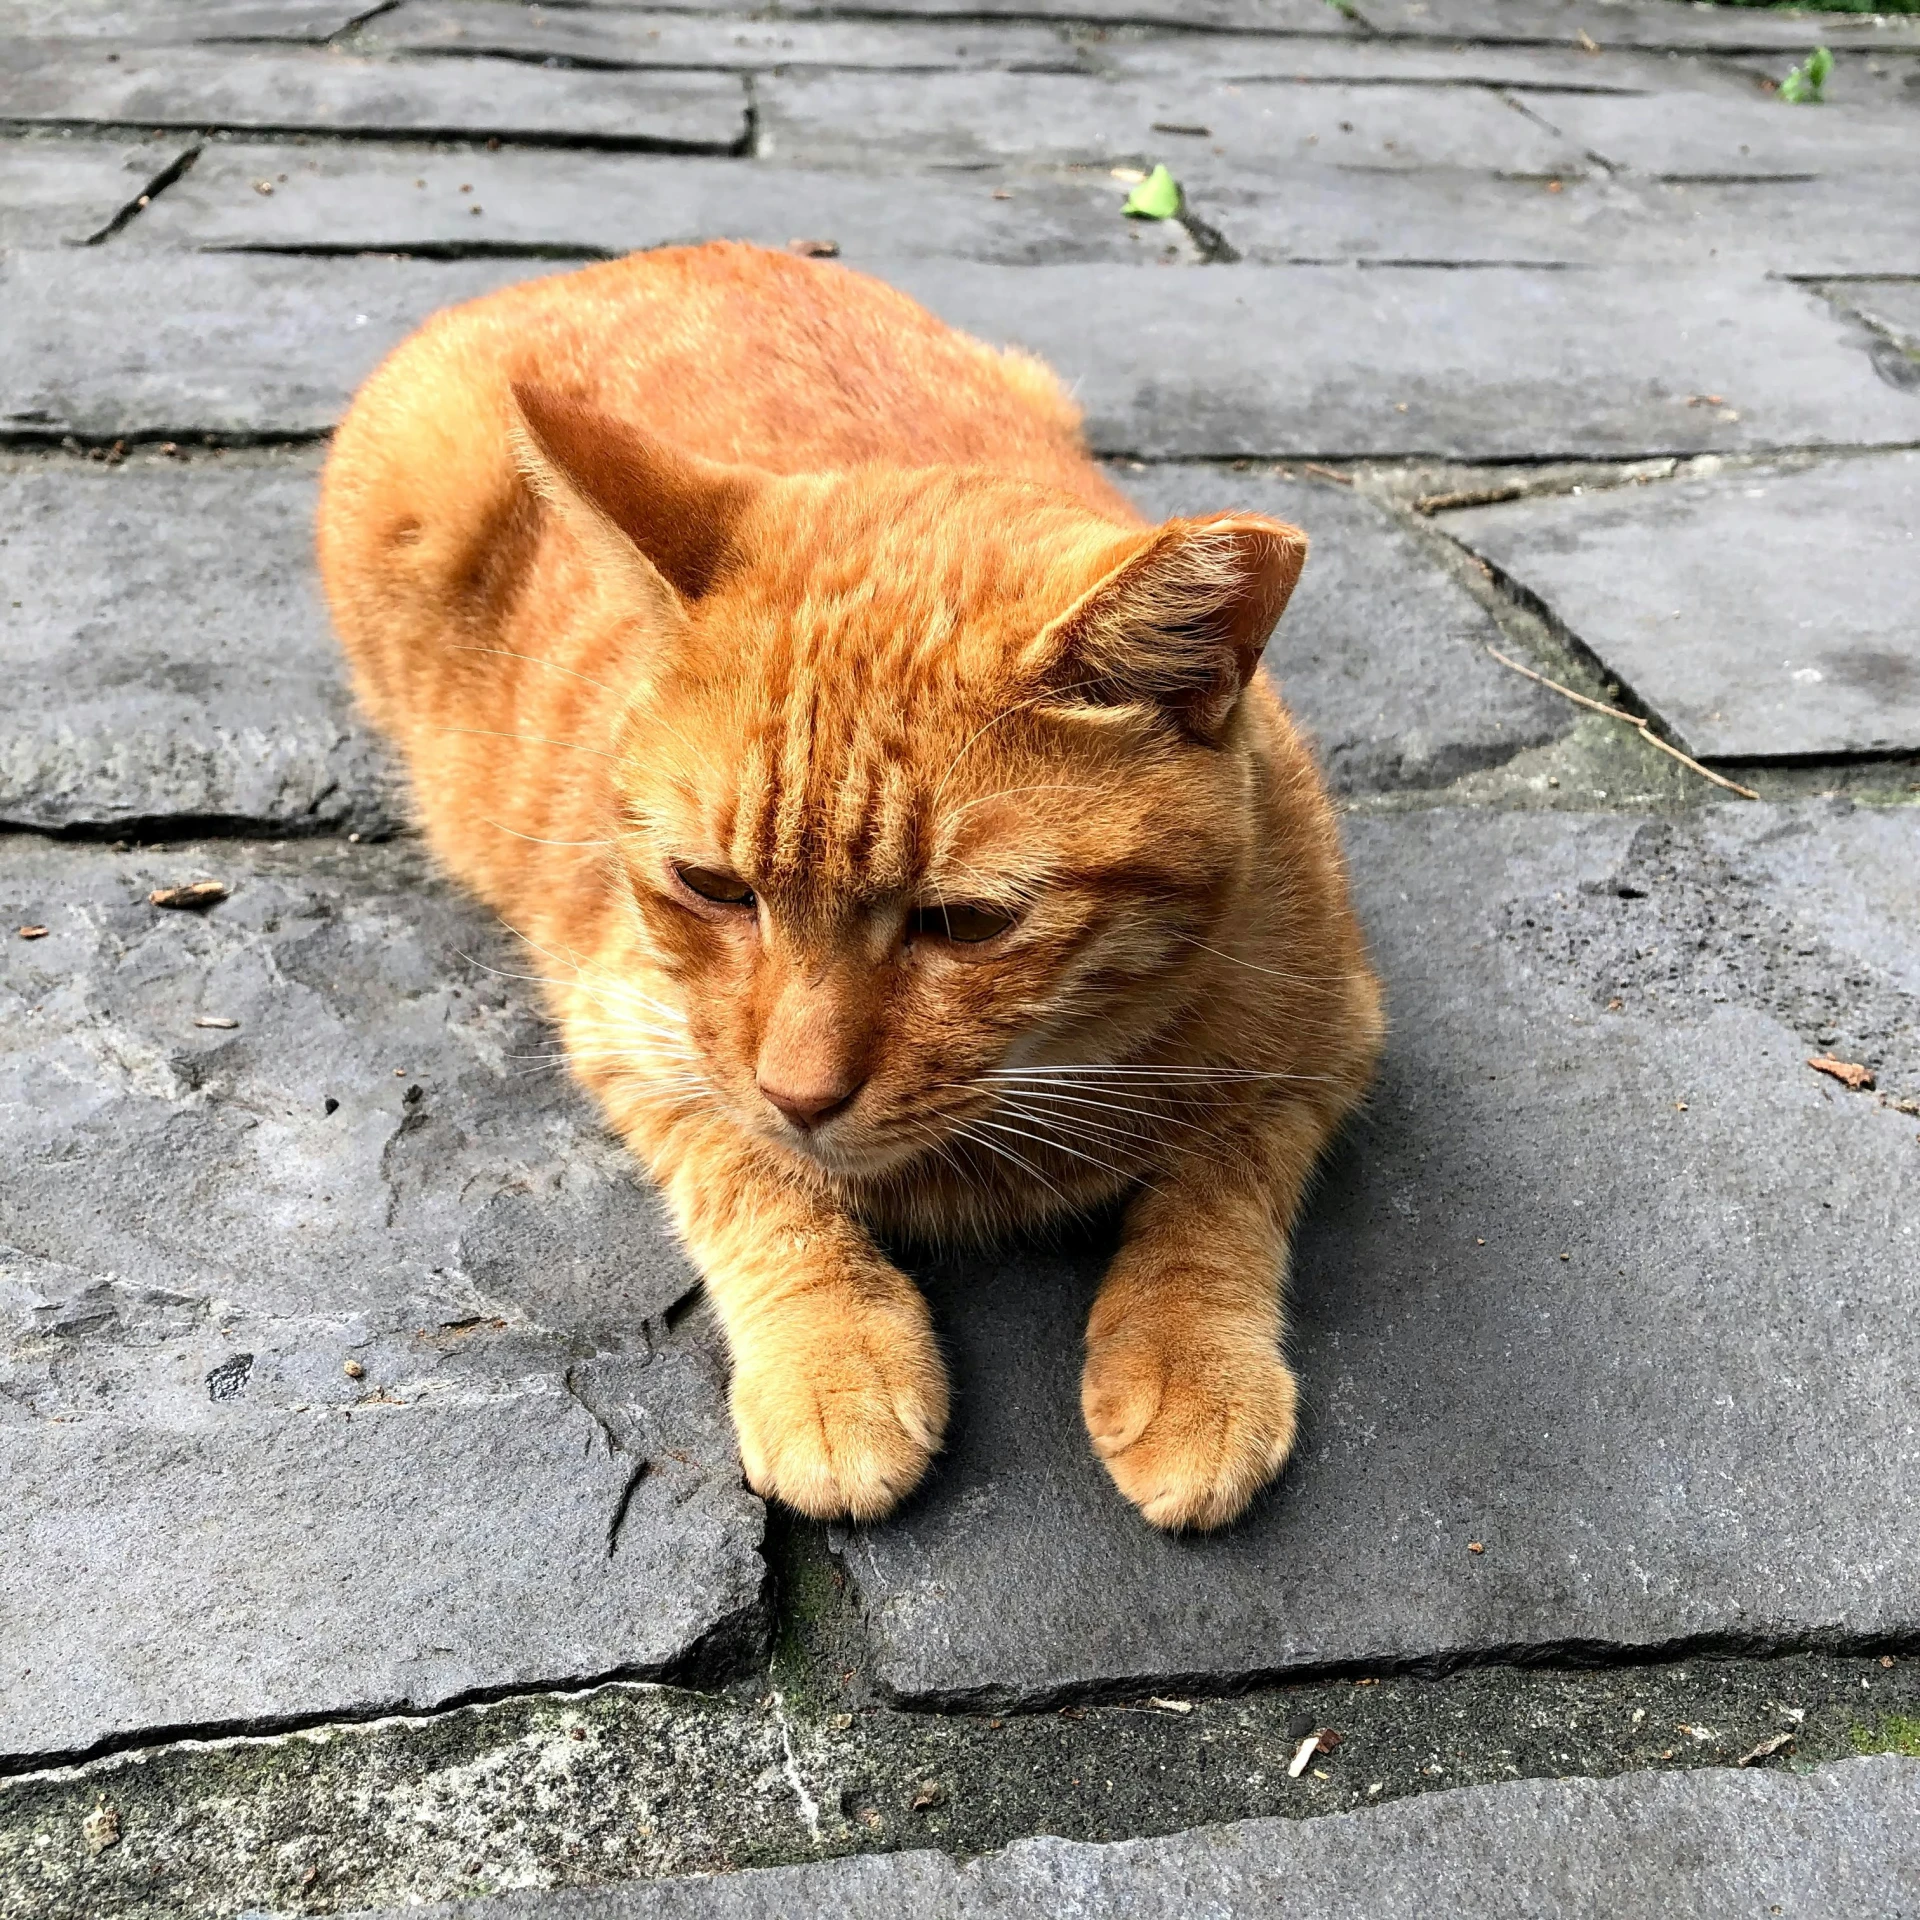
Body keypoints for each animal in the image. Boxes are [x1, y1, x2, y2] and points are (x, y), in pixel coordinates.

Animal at [322, 243, 1390, 1528]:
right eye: (712, 886)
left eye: (965, 922)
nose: (803, 1094)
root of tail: (628, 258)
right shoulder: (635, 1030)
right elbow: (753, 1181)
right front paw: (833, 1359)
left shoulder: (1330, 1041)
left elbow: (1221, 1187)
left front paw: (1189, 1362)